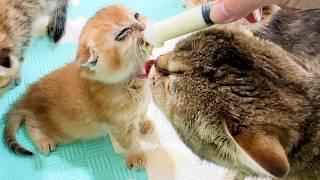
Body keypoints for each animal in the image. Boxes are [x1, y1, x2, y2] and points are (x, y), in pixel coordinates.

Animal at [3, 4, 154, 170]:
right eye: (122, 34)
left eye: (136, 15)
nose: (143, 26)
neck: (133, 82)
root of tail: (28, 95)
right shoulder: (119, 125)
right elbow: (130, 142)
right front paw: (136, 156)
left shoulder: (142, 104)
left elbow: (141, 113)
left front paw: (144, 124)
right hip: (61, 131)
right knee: (31, 124)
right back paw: (43, 141)